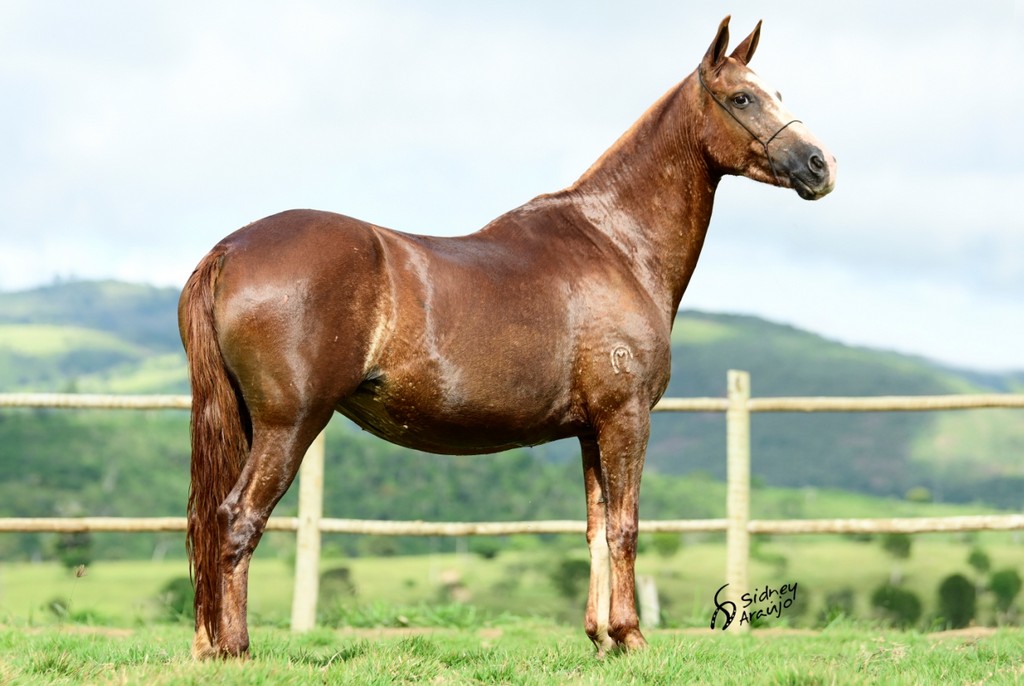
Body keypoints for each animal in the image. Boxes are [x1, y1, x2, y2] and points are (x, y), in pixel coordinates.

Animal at [178, 16, 831, 659]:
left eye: (776, 92)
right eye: (742, 97)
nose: (820, 165)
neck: (617, 243)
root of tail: (228, 250)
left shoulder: (591, 428)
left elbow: (596, 527)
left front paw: (601, 639)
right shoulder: (626, 417)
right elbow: (626, 525)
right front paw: (631, 636)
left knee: (212, 522)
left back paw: (209, 645)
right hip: (289, 423)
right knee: (237, 519)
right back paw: (235, 650)